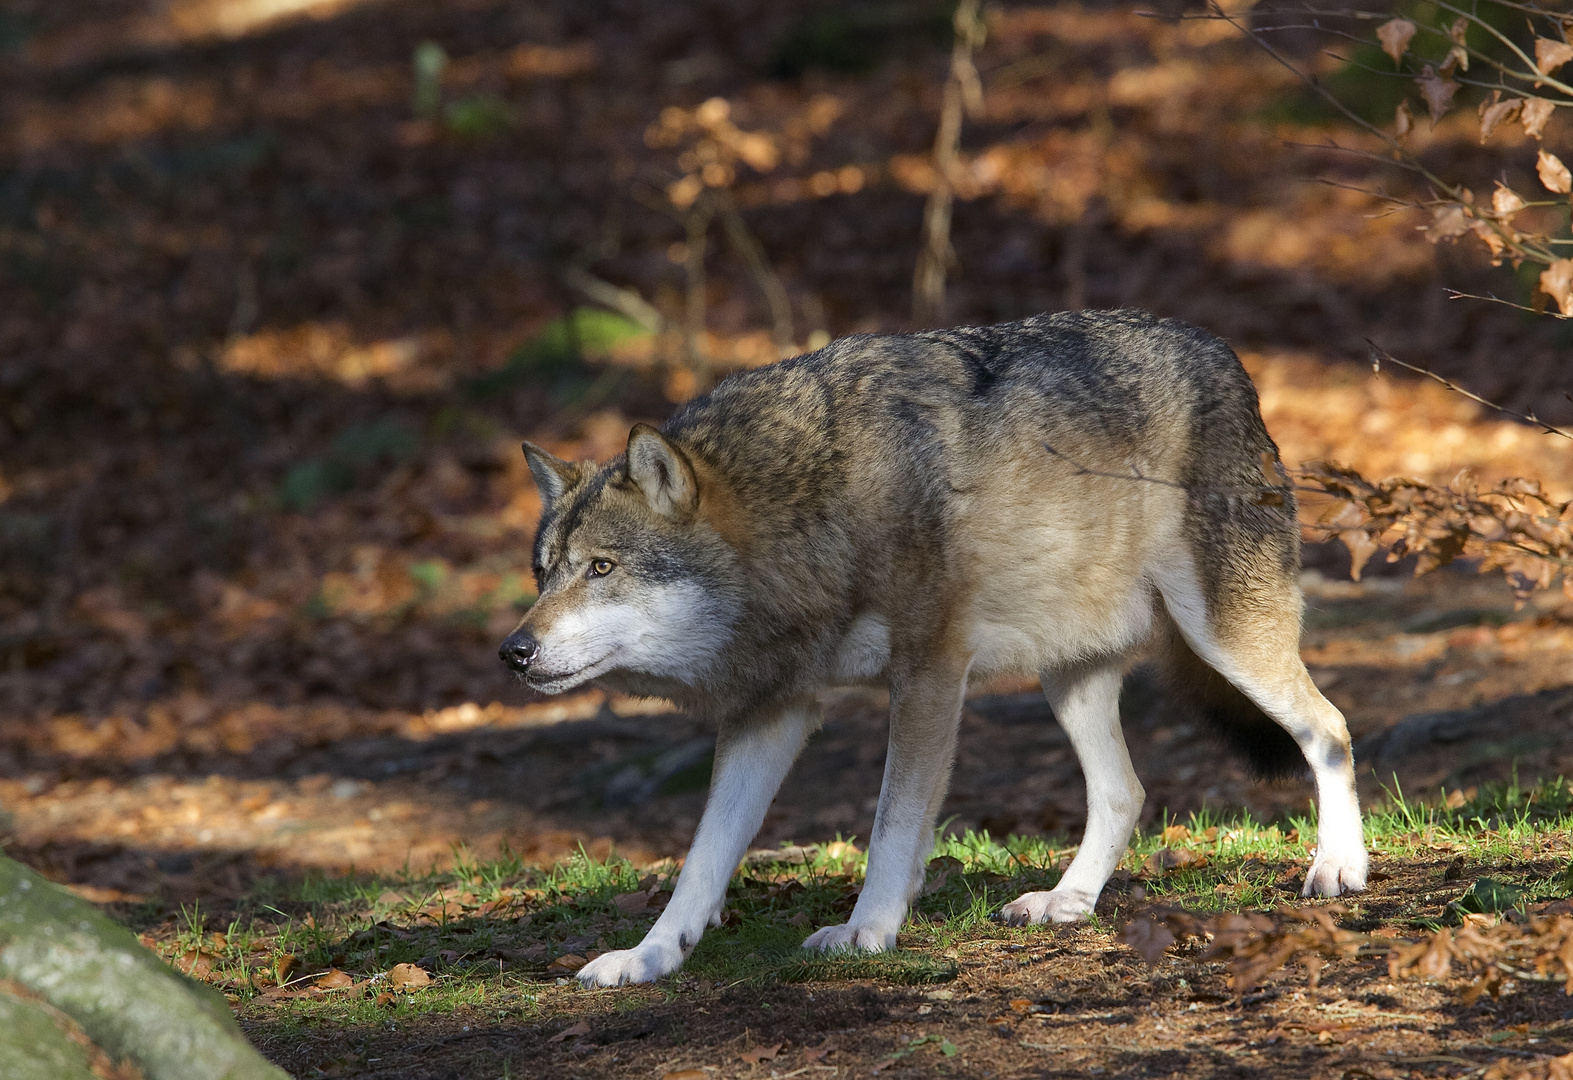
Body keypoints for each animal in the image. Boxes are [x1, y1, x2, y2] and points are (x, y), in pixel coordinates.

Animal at [500, 311, 1365, 987]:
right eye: (544, 573)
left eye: (601, 568)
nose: (513, 651)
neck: (810, 507)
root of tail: (1221, 352)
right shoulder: (771, 711)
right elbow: (702, 858)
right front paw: (650, 957)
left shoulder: (929, 673)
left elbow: (892, 821)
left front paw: (866, 931)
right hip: (1068, 679)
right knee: (1125, 791)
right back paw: (1067, 902)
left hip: (1226, 638)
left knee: (1329, 728)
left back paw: (1338, 867)